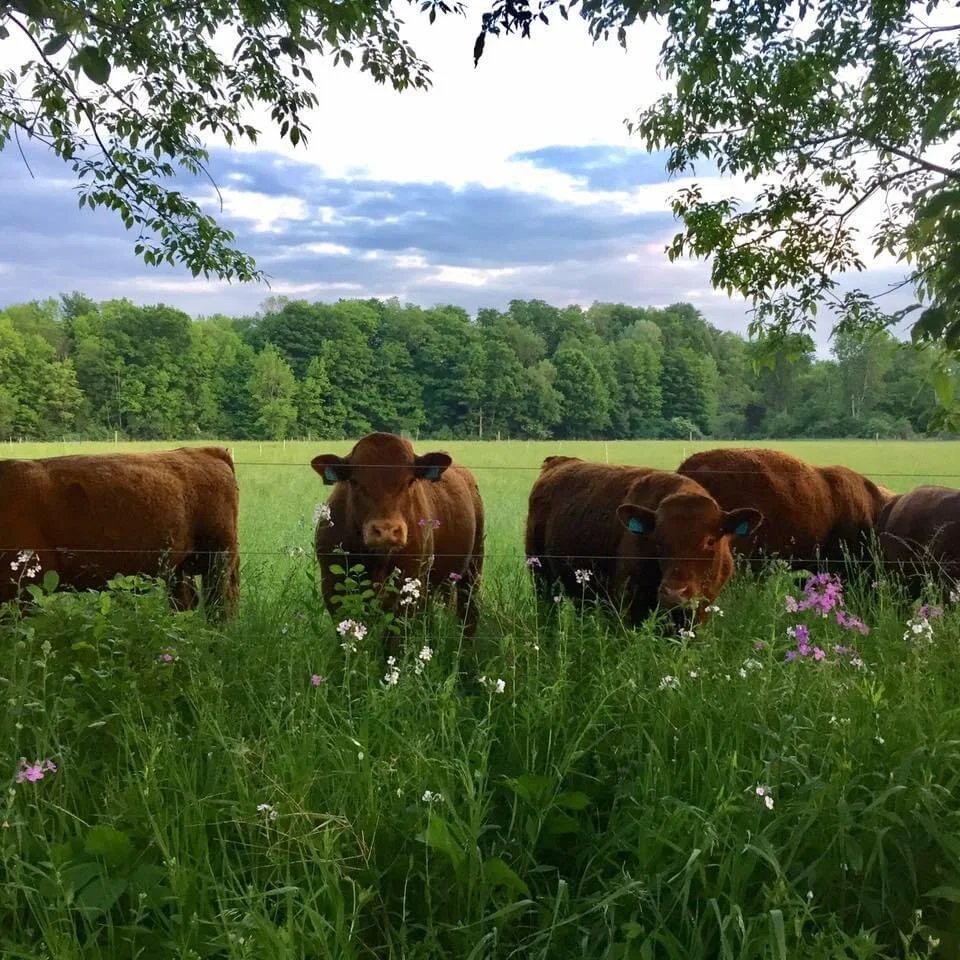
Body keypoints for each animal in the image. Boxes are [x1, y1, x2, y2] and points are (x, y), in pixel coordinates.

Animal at [0, 446, 240, 617]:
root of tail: (205, 451)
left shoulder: (21, 589)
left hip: (218, 558)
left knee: (220, 607)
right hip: (179, 568)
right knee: (185, 605)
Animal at [311, 432, 485, 638]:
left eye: (410, 481)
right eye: (354, 482)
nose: (386, 530)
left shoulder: (408, 585)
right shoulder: (332, 586)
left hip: (473, 567)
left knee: (468, 613)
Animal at [524, 455, 763, 627]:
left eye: (710, 541)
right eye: (658, 541)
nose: (674, 593)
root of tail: (558, 462)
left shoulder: (701, 609)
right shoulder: (630, 605)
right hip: (542, 578)